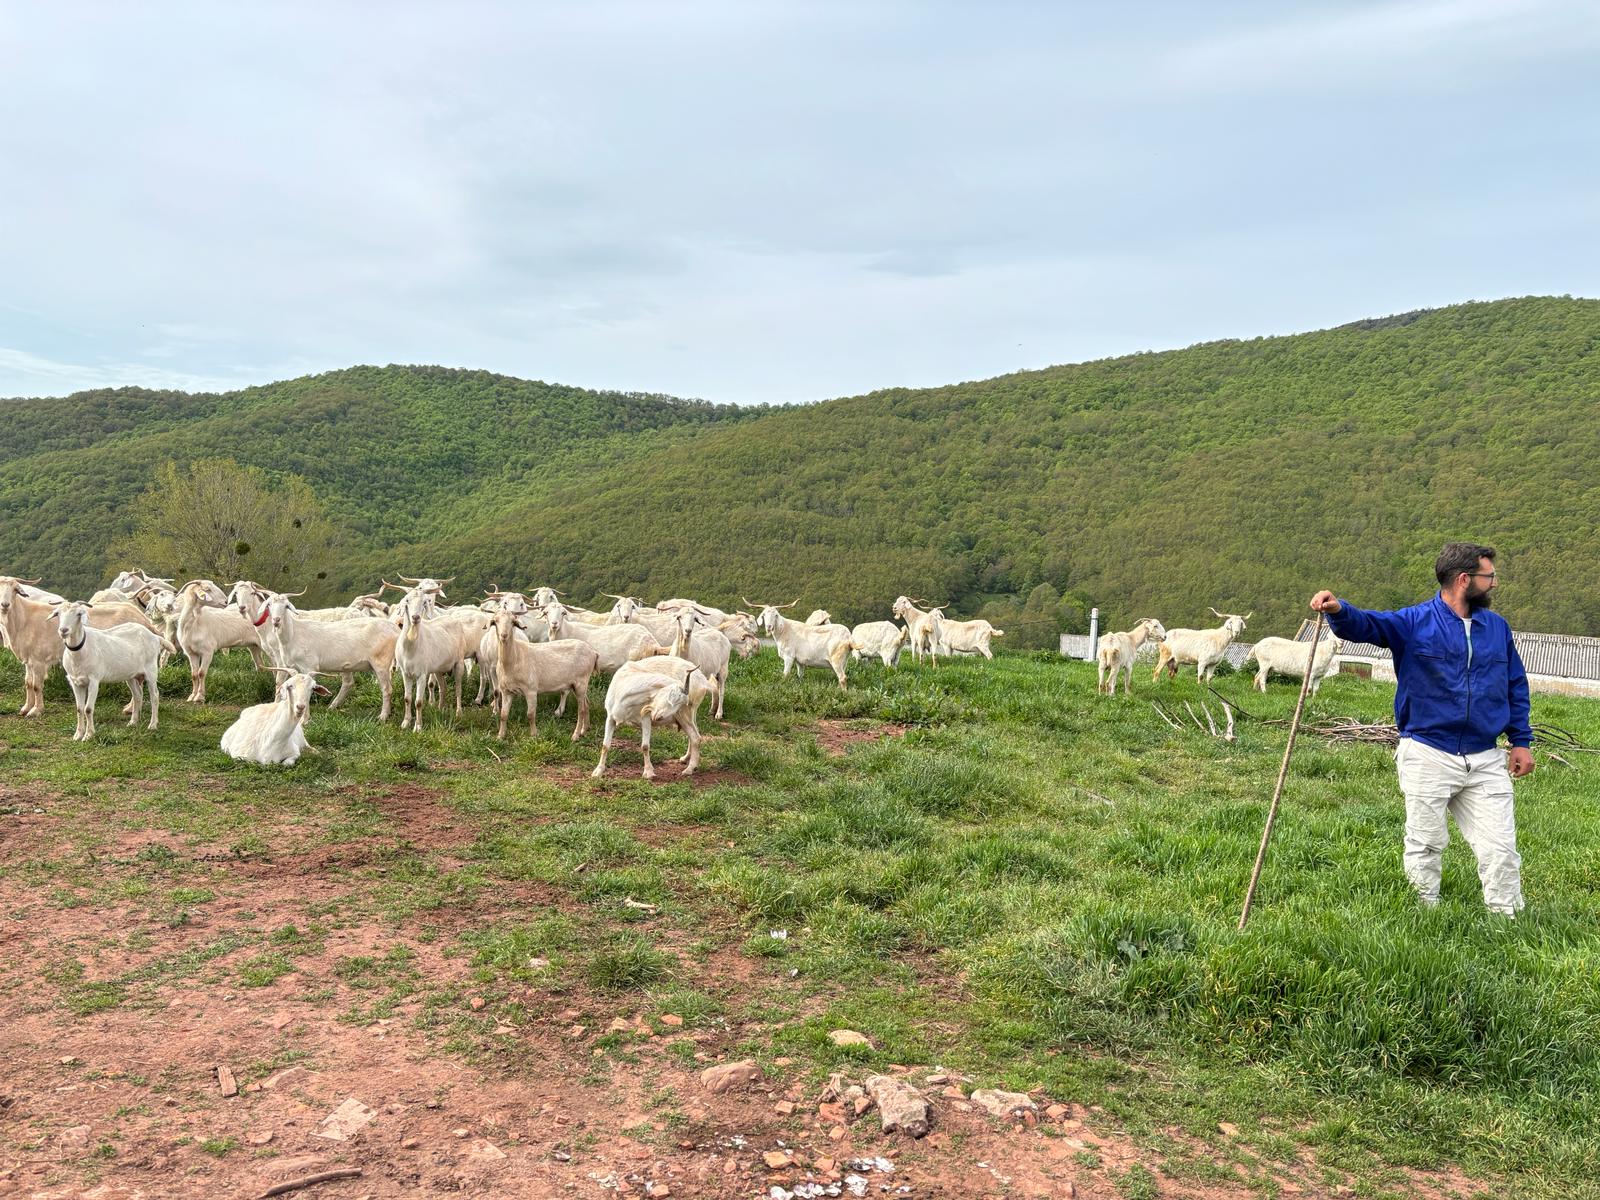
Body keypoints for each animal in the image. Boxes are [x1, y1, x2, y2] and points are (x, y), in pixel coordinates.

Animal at [54, 604, 164, 739]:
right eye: (58, 613)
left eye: (78, 614)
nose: (63, 630)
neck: (81, 652)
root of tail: (155, 637)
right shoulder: (75, 682)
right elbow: (79, 709)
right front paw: (78, 735)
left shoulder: (94, 680)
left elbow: (88, 709)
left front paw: (88, 735)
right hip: (131, 675)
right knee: (137, 695)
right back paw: (133, 722)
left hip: (151, 670)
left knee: (155, 696)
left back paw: (153, 725)